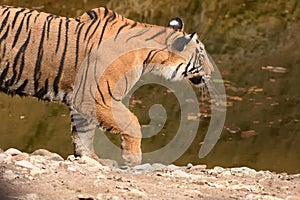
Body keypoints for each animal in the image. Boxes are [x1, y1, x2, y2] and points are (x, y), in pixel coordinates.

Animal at [1, 5, 214, 166]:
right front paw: (132, 158)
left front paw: (93, 160)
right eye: (201, 55)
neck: (150, 58)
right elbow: (131, 122)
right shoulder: (96, 97)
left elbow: (84, 133)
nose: (212, 72)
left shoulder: (83, 100)